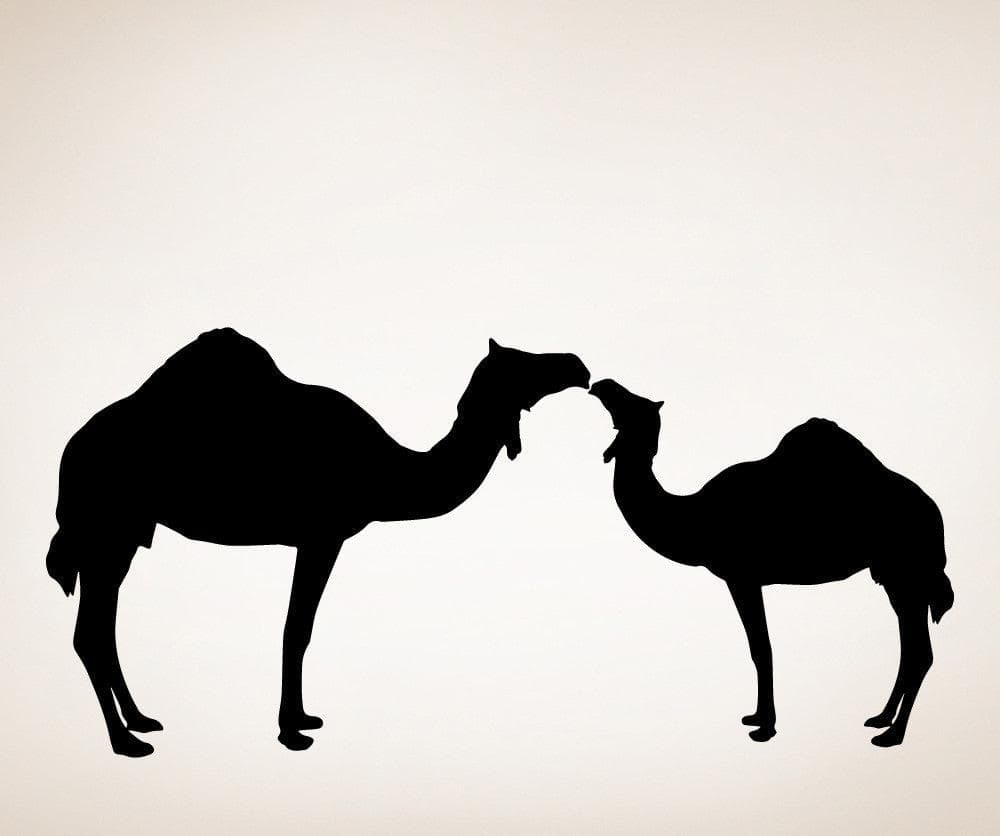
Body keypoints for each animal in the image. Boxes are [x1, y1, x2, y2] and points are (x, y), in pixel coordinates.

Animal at [48, 328, 590, 757]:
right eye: (522, 360)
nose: (577, 365)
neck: (387, 470)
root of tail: (71, 450)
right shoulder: (321, 535)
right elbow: (297, 629)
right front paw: (291, 732)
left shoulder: (320, 539)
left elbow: (301, 630)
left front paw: (303, 718)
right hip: (106, 526)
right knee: (90, 632)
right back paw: (126, 742)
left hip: (127, 535)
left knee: (103, 627)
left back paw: (141, 720)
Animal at [589, 378, 953, 747]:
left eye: (633, 401)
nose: (601, 385)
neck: (695, 516)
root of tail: (934, 514)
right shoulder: (744, 579)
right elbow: (759, 648)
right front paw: (756, 717)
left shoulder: (742, 577)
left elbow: (761, 648)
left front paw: (765, 728)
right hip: (891, 575)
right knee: (910, 648)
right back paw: (880, 718)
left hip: (906, 570)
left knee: (920, 652)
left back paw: (893, 734)